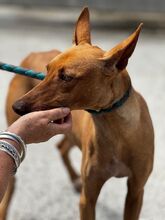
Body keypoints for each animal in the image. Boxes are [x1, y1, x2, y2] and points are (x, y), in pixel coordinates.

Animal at [3, 7, 154, 220]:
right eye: (47, 70)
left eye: (67, 77)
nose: (17, 107)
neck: (116, 132)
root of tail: (34, 52)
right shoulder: (87, 198)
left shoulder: (135, 191)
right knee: (12, 184)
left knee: (61, 147)